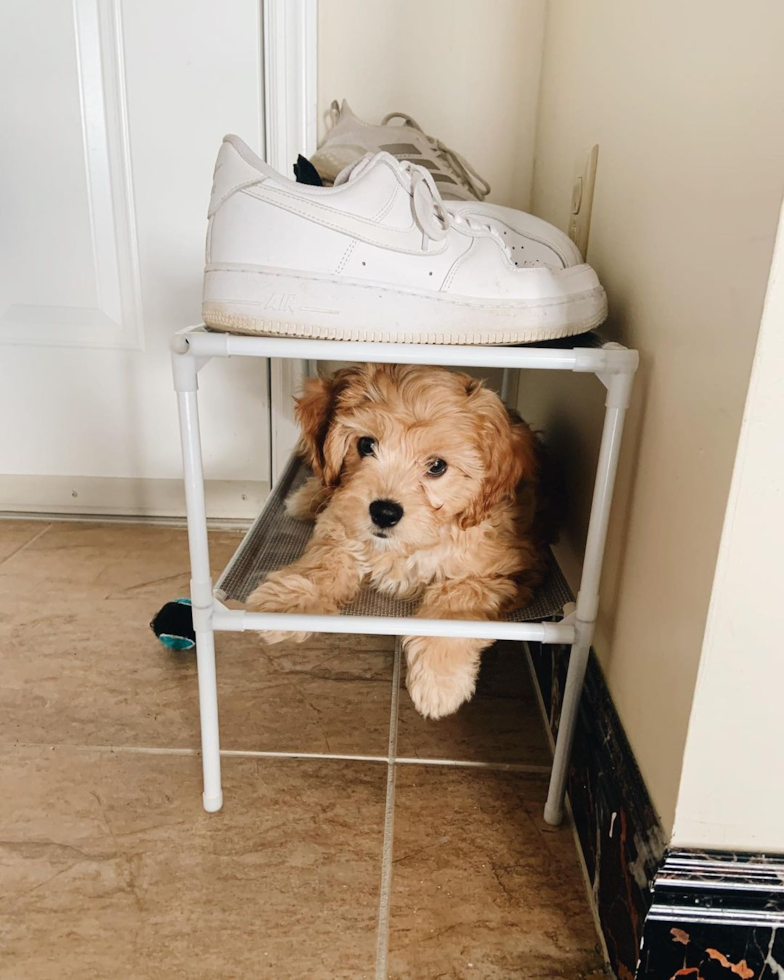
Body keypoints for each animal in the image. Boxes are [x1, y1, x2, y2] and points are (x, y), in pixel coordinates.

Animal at [248, 364, 548, 716]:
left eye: (437, 466)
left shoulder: (502, 569)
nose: (384, 513)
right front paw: (289, 602)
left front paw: (439, 682)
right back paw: (306, 499)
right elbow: (326, 558)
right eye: (366, 445)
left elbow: (457, 601)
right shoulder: (341, 523)